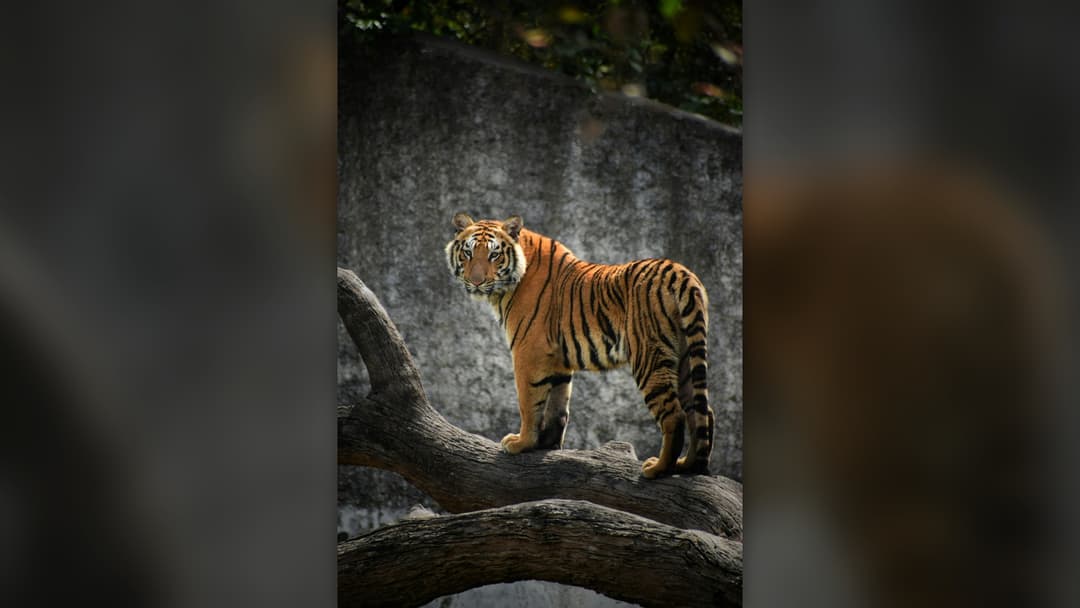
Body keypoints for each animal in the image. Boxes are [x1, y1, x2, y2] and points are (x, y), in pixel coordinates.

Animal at [444, 212, 714, 478]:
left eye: (494, 255)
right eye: (468, 253)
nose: (476, 282)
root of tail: (681, 273)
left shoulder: (527, 352)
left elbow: (529, 403)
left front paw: (521, 443)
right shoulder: (557, 359)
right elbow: (557, 405)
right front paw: (547, 444)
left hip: (650, 356)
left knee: (675, 415)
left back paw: (657, 469)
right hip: (685, 357)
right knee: (702, 412)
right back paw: (688, 465)